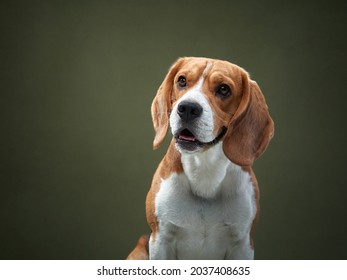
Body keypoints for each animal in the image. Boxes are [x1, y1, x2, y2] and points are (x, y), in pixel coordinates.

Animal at [127, 57, 274, 260]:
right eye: (181, 80)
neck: (204, 170)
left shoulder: (243, 244)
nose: (188, 108)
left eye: (224, 89)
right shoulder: (160, 240)